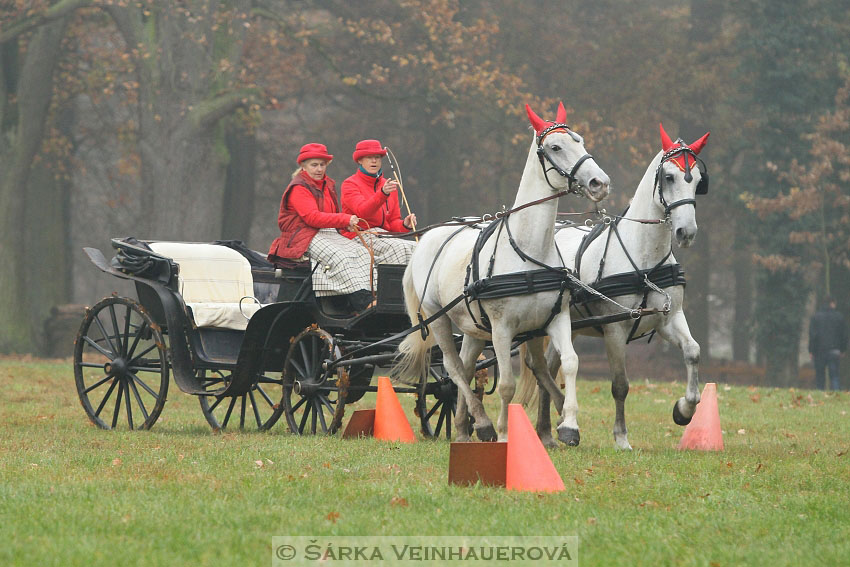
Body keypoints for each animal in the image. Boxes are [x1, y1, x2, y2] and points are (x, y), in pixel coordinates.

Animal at [390, 102, 608, 444]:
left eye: (580, 141)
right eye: (555, 147)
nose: (600, 183)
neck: (528, 251)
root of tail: (427, 238)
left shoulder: (556, 318)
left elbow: (571, 363)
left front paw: (569, 424)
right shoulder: (502, 328)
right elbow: (506, 384)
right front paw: (507, 435)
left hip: (473, 327)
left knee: (465, 368)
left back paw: (465, 428)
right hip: (438, 318)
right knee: (453, 368)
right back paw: (484, 424)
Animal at [516, 123, 708, 448]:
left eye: (697, 181)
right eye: (668, 177)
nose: (686, 232)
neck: (643, 259)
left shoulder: (669, 318)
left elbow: (693, 352)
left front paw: (684, 410)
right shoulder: (615, 330)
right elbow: (620, 384)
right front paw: (621, 438)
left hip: (568, 327)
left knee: (551, 368)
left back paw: (545, 433)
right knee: (539, 366)